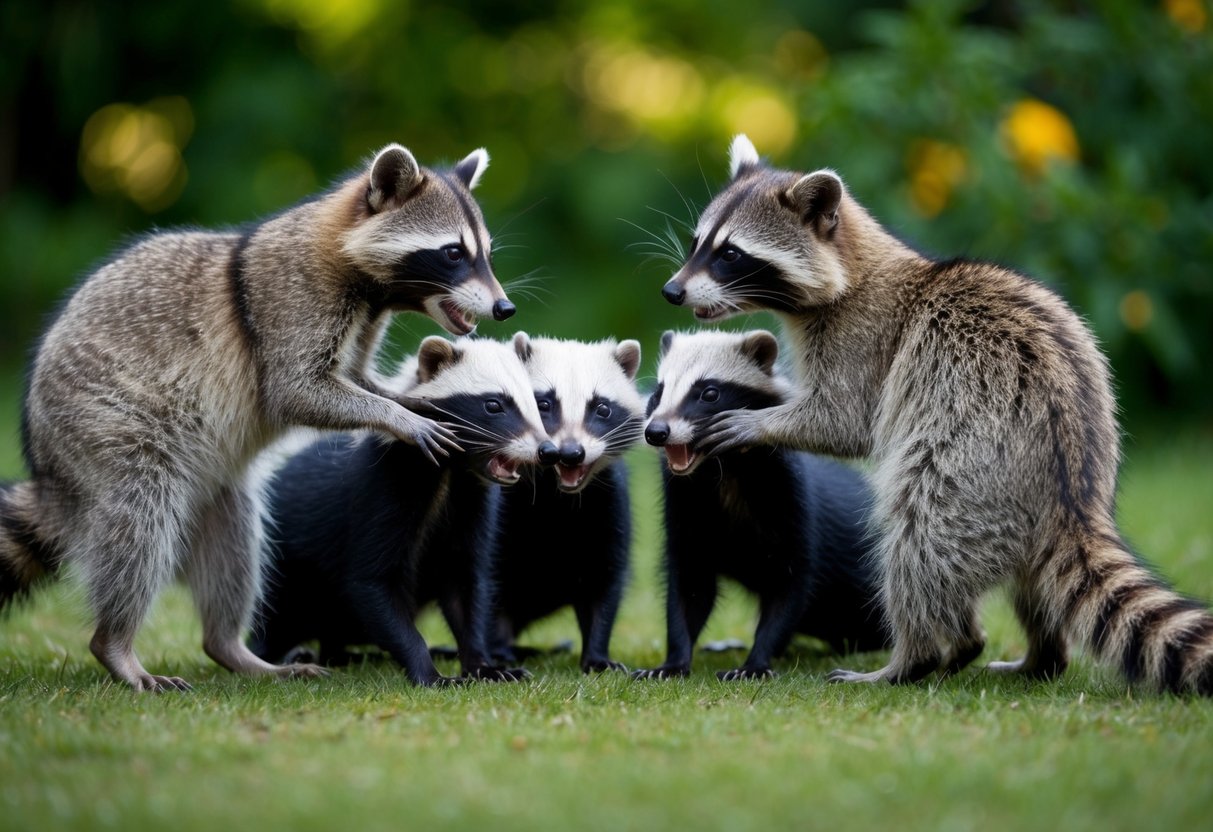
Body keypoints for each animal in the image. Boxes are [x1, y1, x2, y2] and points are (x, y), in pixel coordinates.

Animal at [0, 143, 515, 691]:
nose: (505, 307)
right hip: (101, 425)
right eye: (453, 253)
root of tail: (51, 476)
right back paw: (116, 644)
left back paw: (230, 647)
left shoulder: (358, 326)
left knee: (236, 546)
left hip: (214, 489)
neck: (368, 284)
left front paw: (409, 400)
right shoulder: (291, 304)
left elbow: (357, 377)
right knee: (139, 519)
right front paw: (399, 417)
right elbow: (296, 392)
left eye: (486, 253)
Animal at [248, 335, 552, 685]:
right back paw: (289, 655)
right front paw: (431, 675)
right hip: (282, 560)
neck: (447, 476)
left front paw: (485, 667)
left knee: (332, 636)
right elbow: (371, 580)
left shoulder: (470, 502)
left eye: (536, 403)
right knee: (276, 612)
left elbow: (466, 585)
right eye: (492, 404)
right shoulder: (385, 485)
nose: (547, 449)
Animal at [490, 334, 645, 672]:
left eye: (602, 408)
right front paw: (495, 649)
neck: (557, 495)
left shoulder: (609, 503)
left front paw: (597, 654)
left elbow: (605, 580)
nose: (571, 453)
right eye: (543, 404)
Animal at [634, 329, 887, 680]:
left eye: (709, 393)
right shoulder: (687, 512)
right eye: (658, 393)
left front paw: (754, 663)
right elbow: (690, 589)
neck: (723, 475)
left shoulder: (790, 502)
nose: (657, 431)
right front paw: (672, 663)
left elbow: (790, 584)